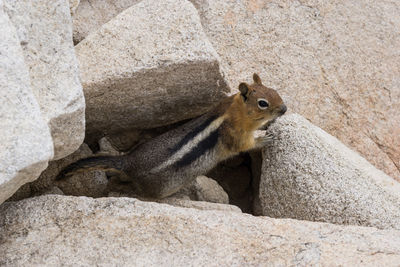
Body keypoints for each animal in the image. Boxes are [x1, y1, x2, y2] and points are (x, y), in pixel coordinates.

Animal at [57, 73, 286, 199]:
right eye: (263, 103)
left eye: (276, 91)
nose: (284, 109)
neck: (234, 111)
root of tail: (128, 162)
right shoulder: (235, 135)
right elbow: (245, 145)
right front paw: (264, 138)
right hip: (157, 189)